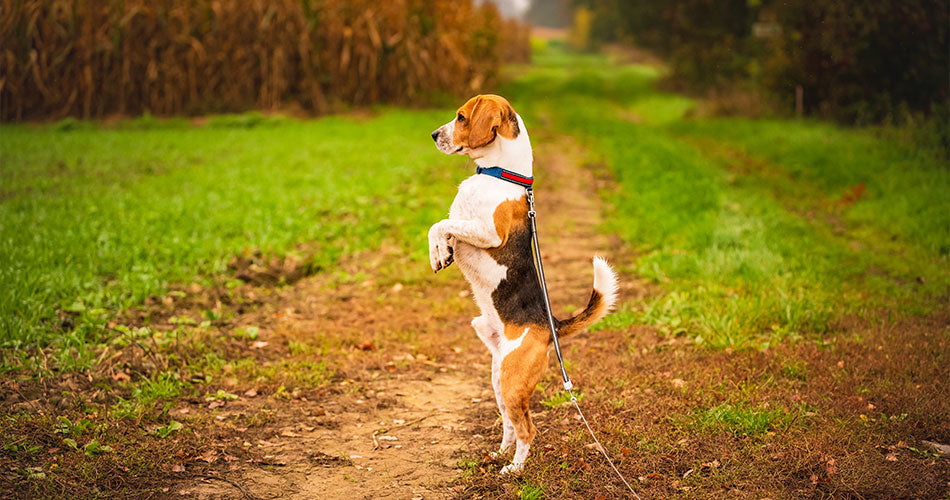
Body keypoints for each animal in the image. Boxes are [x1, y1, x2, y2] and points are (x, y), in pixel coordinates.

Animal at [428, 95, 620, 474]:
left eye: (460, 117)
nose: (433, 135)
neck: (500, 176)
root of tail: (550, 326)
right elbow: (441, 228)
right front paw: (440, 252)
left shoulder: (488, 232)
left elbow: (440, 224)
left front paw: (439, 249)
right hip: (499, 379)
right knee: (510, 425)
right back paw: (500, 454)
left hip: (513, 381)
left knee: (528, 429)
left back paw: (514, 469)